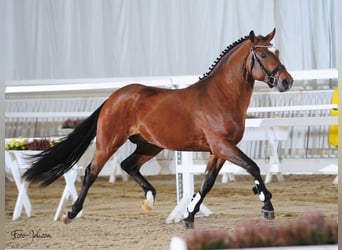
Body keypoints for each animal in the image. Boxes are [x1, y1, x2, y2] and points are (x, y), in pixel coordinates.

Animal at [24, 28, 292, 229]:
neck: (220, 96)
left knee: (129, 165)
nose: (286, 81)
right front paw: (267, 205)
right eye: (263, 55)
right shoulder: (222, 145)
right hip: (108, 142)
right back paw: (71, 213)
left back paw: (149, 199)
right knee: (92, 171)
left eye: (277, 52)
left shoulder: (218, 151)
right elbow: (252, 166)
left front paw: (189, 217)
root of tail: (113, 97)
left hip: (149, 145)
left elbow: (207, 183)